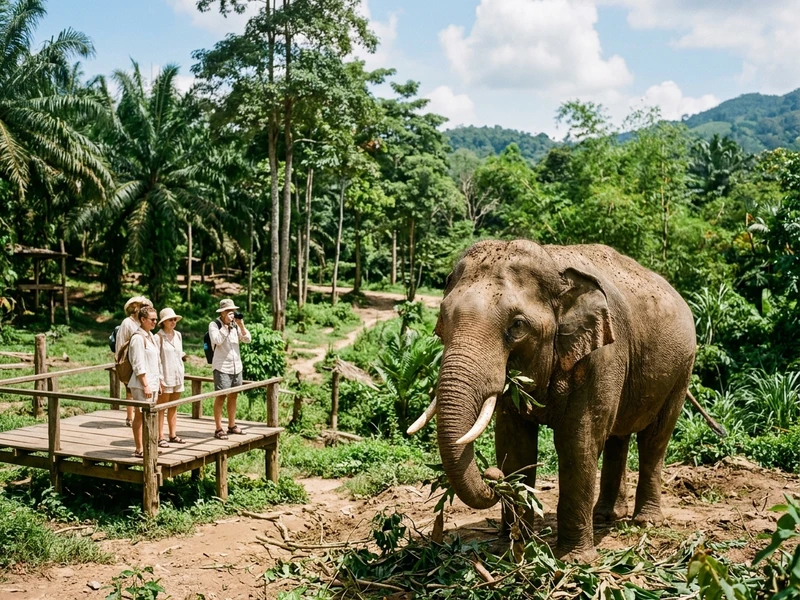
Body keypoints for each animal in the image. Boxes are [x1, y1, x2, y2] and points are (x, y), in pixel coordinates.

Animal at [408, 239, 721, 563]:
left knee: (654, 439)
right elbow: (514, 444)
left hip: (682, 369)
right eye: (442, 322)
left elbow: (578, 441)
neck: (554, 265)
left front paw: (575, 559)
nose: (493, 476)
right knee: (617, 436)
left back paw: (645, 521)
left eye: (517, 325)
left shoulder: (602, 355)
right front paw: (512, 549)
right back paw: (606, 516)